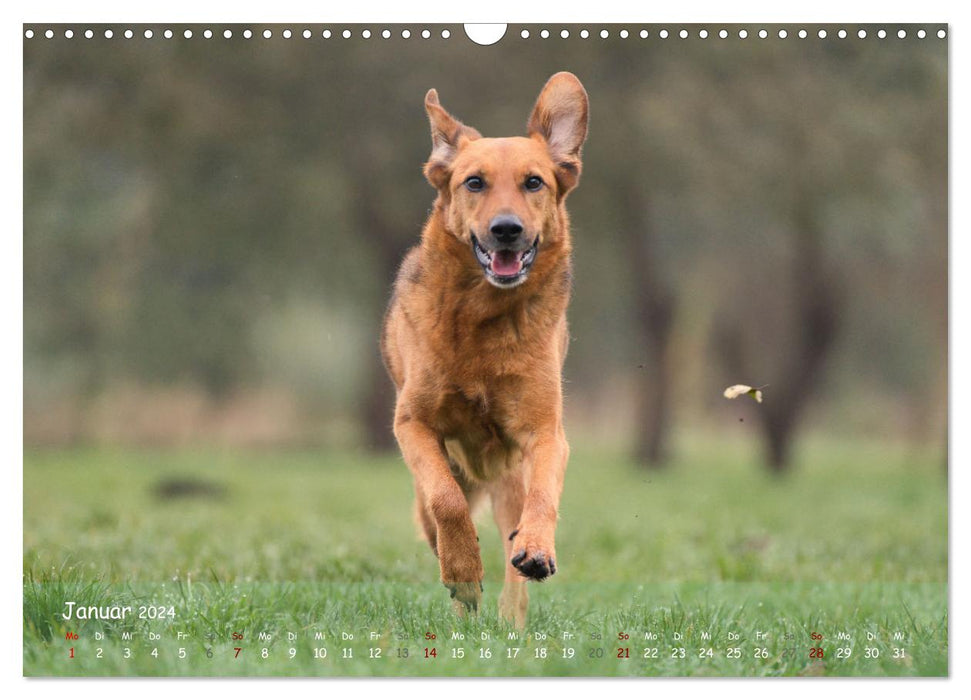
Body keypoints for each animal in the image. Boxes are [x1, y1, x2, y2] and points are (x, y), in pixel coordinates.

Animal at [384, 74, 588, 628]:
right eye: (473, 183)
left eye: (534, 183)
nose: (506, 229)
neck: (484, 318)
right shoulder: (413, 424)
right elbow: (448, 502)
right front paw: (461, 572)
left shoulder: (546, 433)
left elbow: (543, 499)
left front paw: (535, 550)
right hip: (423, 500)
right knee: (437, 519)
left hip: (508, 482)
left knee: (512, 548)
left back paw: (511, 616)